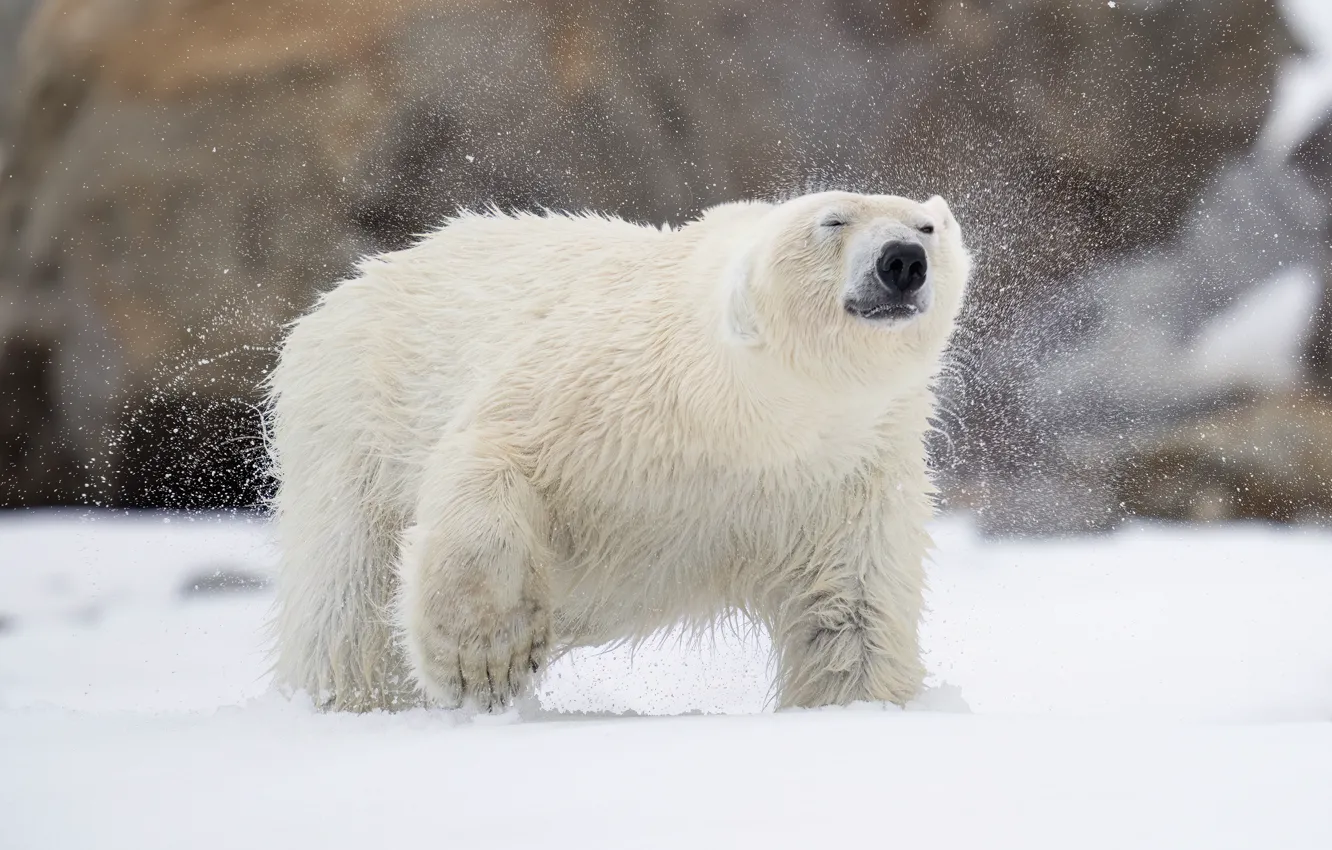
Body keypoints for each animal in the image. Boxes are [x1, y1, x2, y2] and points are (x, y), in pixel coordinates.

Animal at [266, 191, 970, 712]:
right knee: (347, 602)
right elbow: (495, 452)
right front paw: (484, 663)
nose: (902, 261)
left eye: (928, 226)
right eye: (833, 220)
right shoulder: (600, 383)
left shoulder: (844, 479)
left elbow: (851, 613)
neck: (735, 408)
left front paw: (858, 708)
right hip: (353, 416)